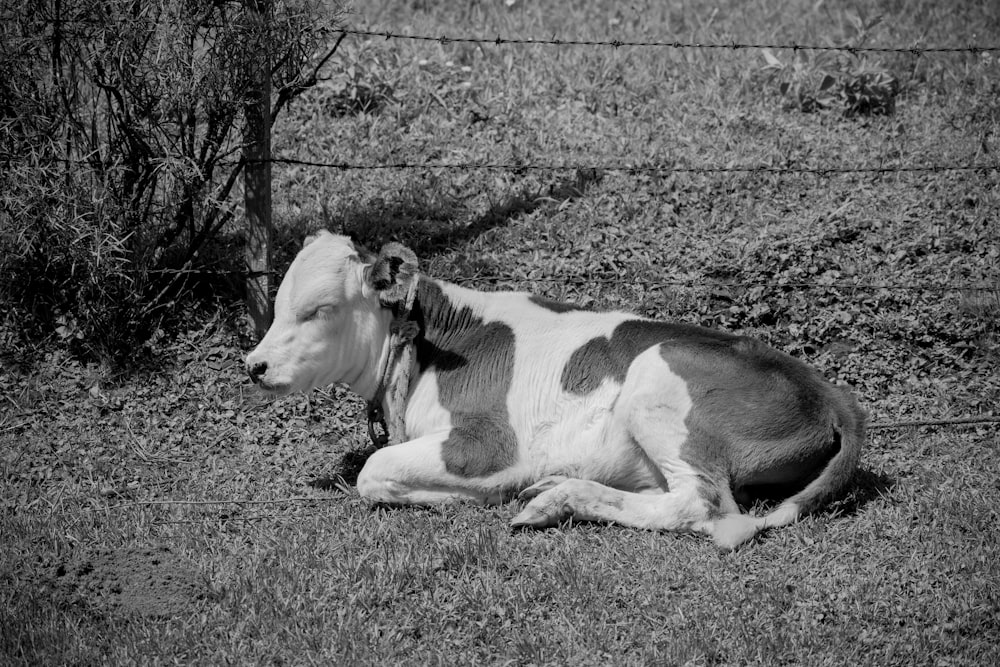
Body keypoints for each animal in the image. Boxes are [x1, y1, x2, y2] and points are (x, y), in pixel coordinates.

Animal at [246, 232, 864, 552]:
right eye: (279, 302)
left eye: (319, 309)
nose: (254, 365)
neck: (429, 344)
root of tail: (831, 391)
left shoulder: (490, 444)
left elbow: (372, 473)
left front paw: (460, 494)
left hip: (657, 378)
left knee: (702, 503)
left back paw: (555, 498)